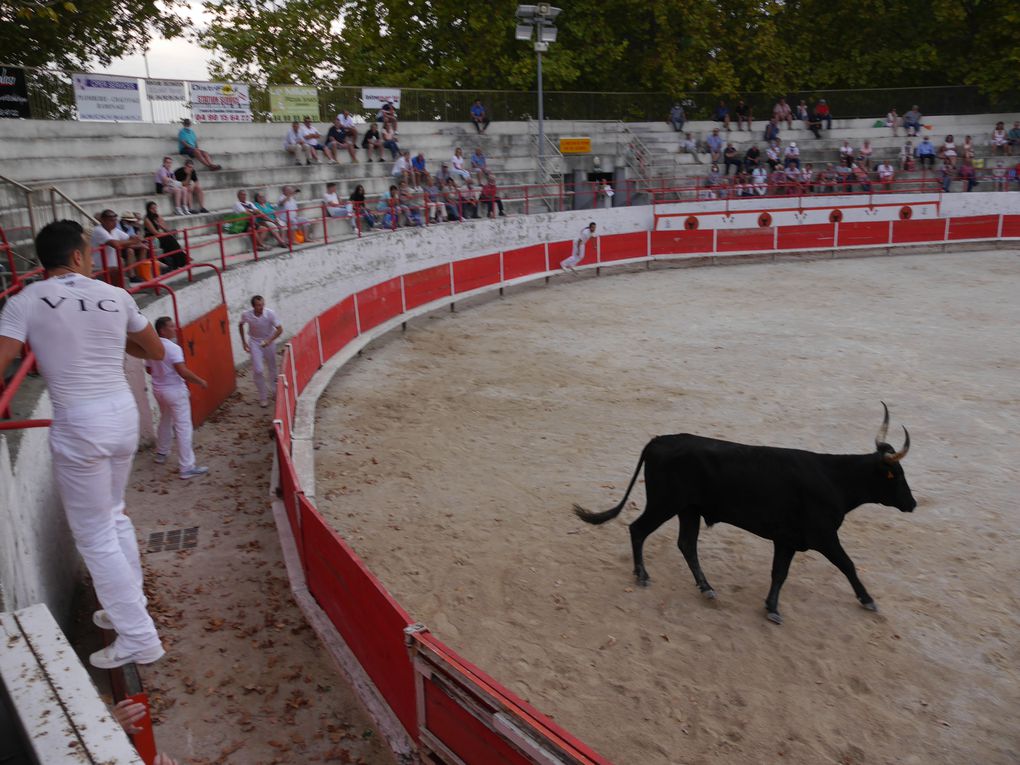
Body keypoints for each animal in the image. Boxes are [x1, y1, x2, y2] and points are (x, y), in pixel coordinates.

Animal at [575, 403, 918, 624]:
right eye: (898, 476)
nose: (912, 503)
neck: (834, 479)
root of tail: (660, 440)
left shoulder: (787, 540)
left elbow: (779, 572)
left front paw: (771, 607)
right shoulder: (823, 536)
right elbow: (847, 564)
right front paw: (868, 600)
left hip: (688, 510)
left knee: (686, 544)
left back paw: (707, 588)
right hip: (664, 504)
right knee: (638, 530)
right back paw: (643, 575)